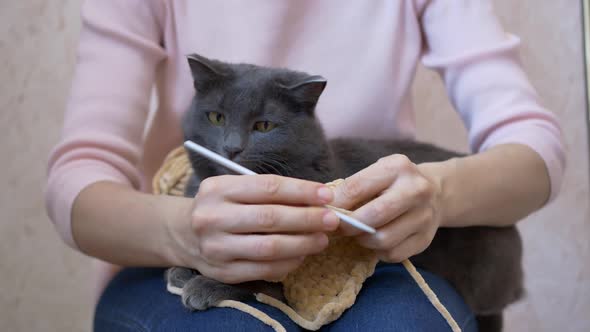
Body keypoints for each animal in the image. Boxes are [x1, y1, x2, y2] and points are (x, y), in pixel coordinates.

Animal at [165, 53, 524, 330]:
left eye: (263, 126)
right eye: (216, 117)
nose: (231, 147)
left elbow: (259, 279)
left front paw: (203, 285)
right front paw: (183, 269)